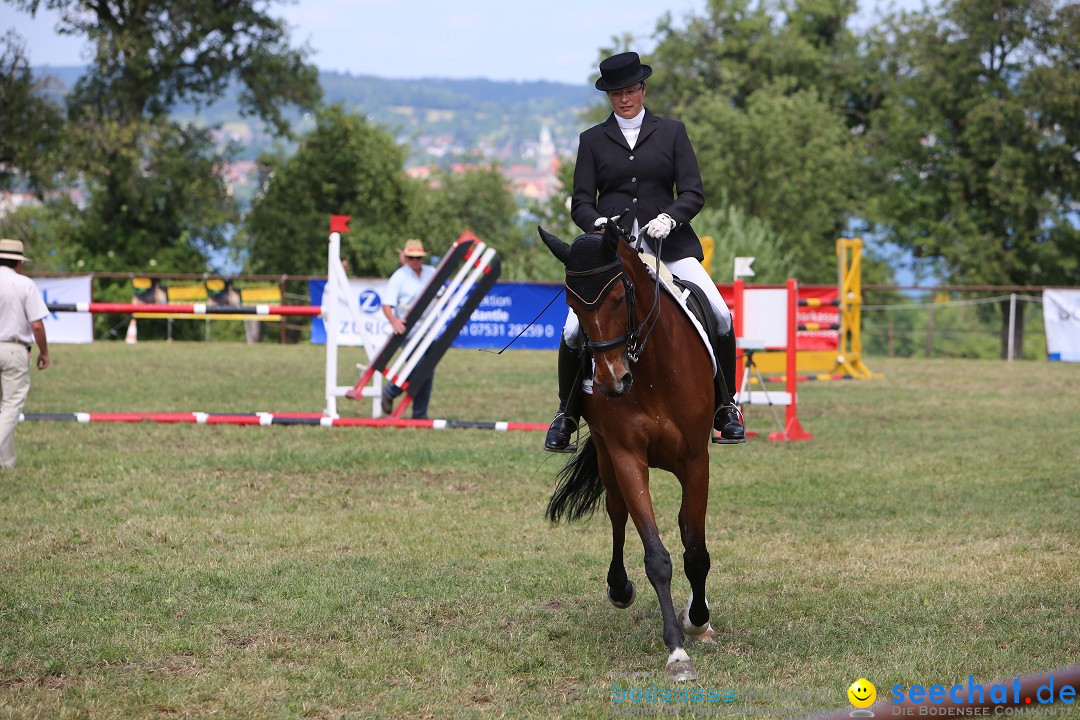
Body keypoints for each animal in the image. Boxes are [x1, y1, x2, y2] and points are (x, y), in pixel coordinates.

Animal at [537, 222, 717, 686]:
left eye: (620, 297)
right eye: (571, 304)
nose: (611, 382)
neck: (650, 369)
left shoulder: (696, 461)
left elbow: (695, 549)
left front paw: (698, 620)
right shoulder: (625, 456)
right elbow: (656, 556)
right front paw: (677, 652)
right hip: (604, 454)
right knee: (616, 513)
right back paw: (619, 588)